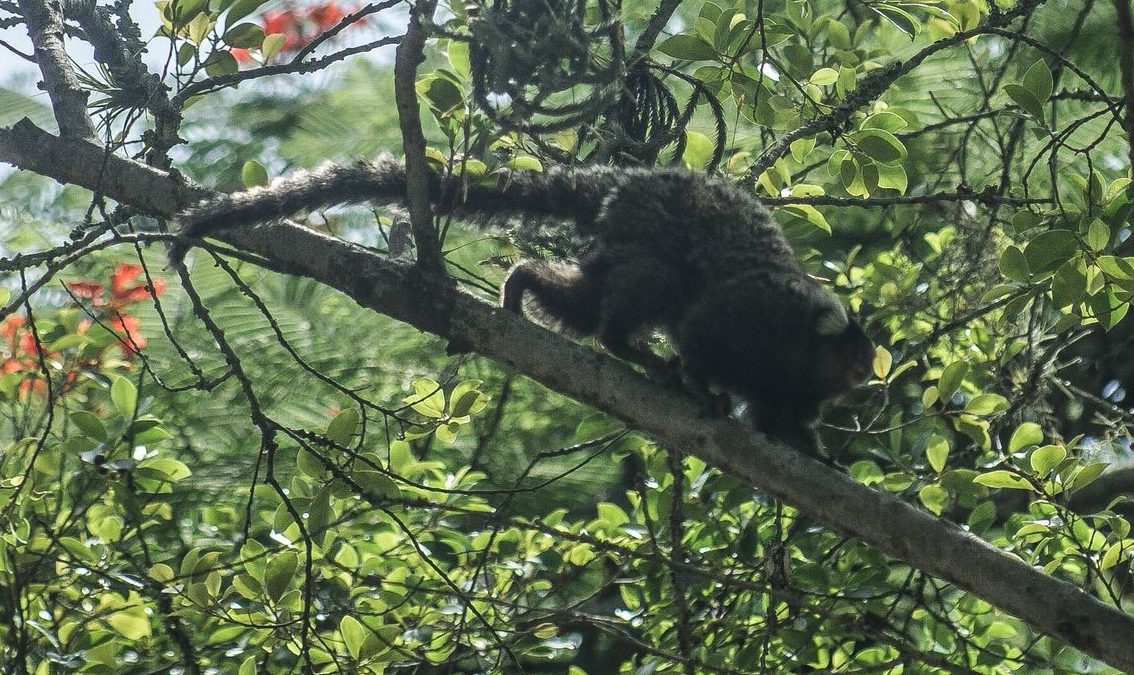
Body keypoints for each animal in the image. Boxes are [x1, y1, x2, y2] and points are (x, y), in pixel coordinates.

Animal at [172, 158, 870, 453]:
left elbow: (782, 422)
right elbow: (701, 333)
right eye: (855, 359)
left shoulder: (793, 389)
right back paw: (629, 348)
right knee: (655, 286)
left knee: (587, 300)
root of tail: (629, 181)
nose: (867, 377)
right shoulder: (752, 318)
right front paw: (699, 385)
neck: (798, 349)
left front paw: (814, 454)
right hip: (650, 230)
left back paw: (526, 283)